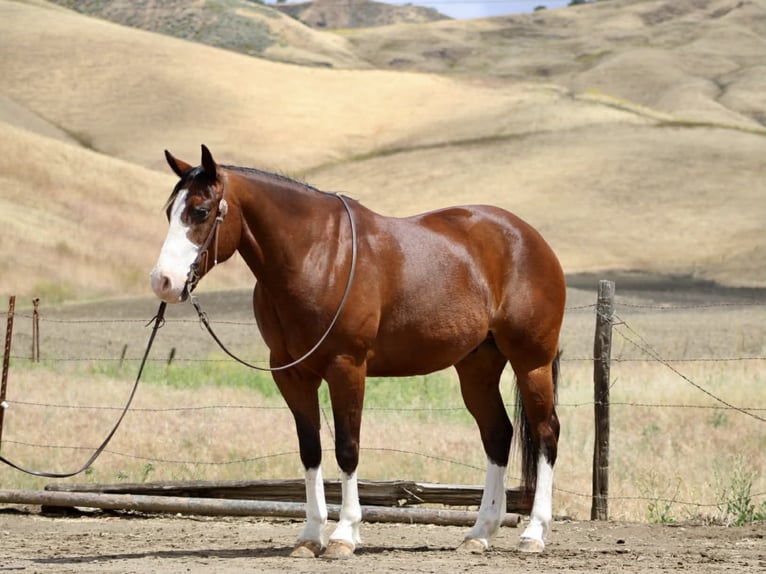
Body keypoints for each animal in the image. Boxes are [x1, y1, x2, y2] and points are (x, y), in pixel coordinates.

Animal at [150, 145, 565, 558]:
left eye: (201, 211)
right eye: (169, 211)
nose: (163, 282)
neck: (315, 256)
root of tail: (529, 238)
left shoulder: (346, 367)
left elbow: (347, 448)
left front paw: (343, 535)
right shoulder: (291, 374)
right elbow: (310, 450)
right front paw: (309, 536)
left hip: (532, 363)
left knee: (546, 433)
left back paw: (533, 533)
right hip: (477, 367)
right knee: (497, 435)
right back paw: (479, 532)